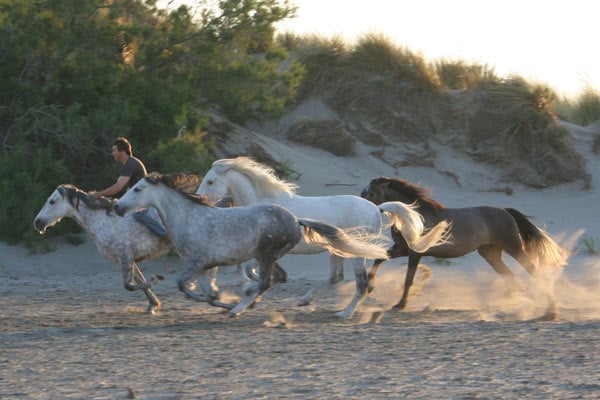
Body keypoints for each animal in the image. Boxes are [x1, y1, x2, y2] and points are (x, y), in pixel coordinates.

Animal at [33, 184, 171, 312]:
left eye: (52, 201)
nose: (37, 223)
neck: (106, 223)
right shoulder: (128, 260)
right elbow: (140, 282)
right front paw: (153, 305)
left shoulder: (126, 256)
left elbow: (129, 285)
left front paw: (157, 279)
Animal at [114, 173, 392, 318]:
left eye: (137, 189)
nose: (117, 207)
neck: (189, 217)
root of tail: (295, 220)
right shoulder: (207, 266)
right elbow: (203, 289)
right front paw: (219, 298)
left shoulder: (198, 262)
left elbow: (185, 285)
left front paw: (226, 302)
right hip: (290, 254)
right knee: (308, 278)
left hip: (271, 255)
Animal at [196, 156, 450, 316]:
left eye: (210, 181)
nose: (198, 199)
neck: (265, 203)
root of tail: (377, 208)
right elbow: (257, 272)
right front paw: (249, 297)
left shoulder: (267, 249)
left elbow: (253, 272)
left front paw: (245, 298)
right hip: (338, 248)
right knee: (337, 277)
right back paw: (306, 300)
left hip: (356, 251)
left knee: (361, 282)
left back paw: (345, 313)